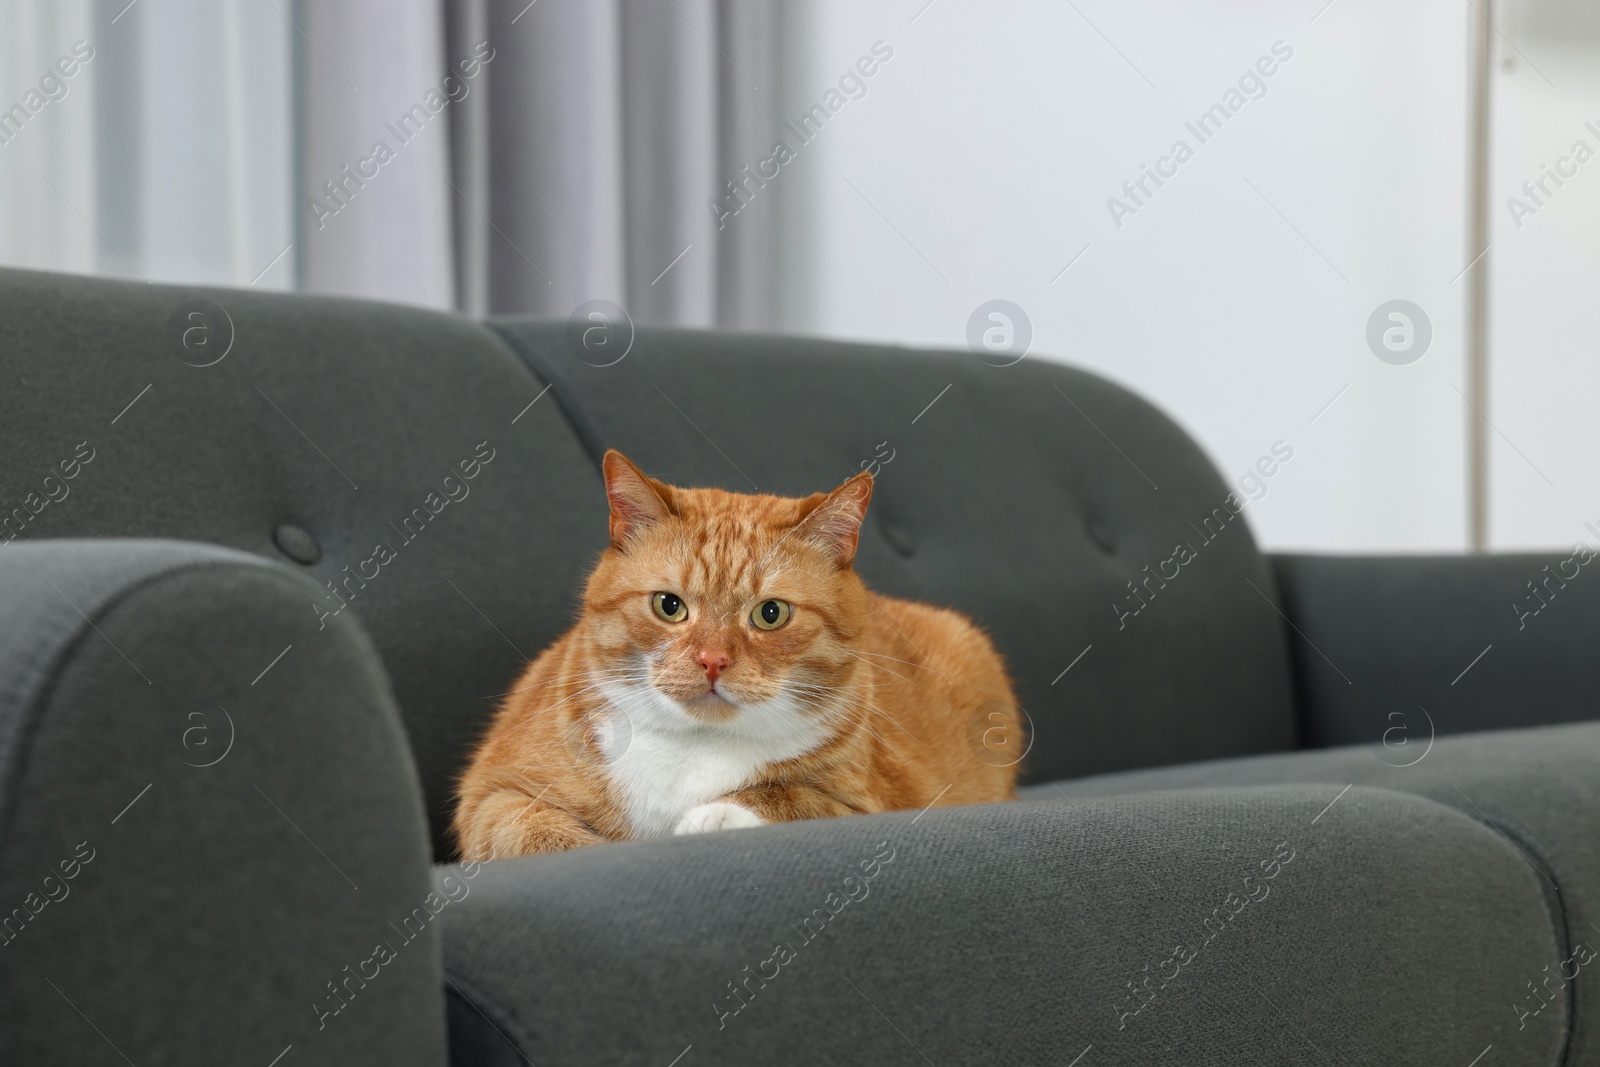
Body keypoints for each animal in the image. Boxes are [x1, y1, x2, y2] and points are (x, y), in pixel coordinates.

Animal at [457, 451, 1017, 857]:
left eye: (770, 614)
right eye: (669, 606)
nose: (712, 661)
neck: (695, 748)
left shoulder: (881, 801)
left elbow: (796, 796)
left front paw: (717, 814)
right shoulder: (490, 796)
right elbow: (540, 833)